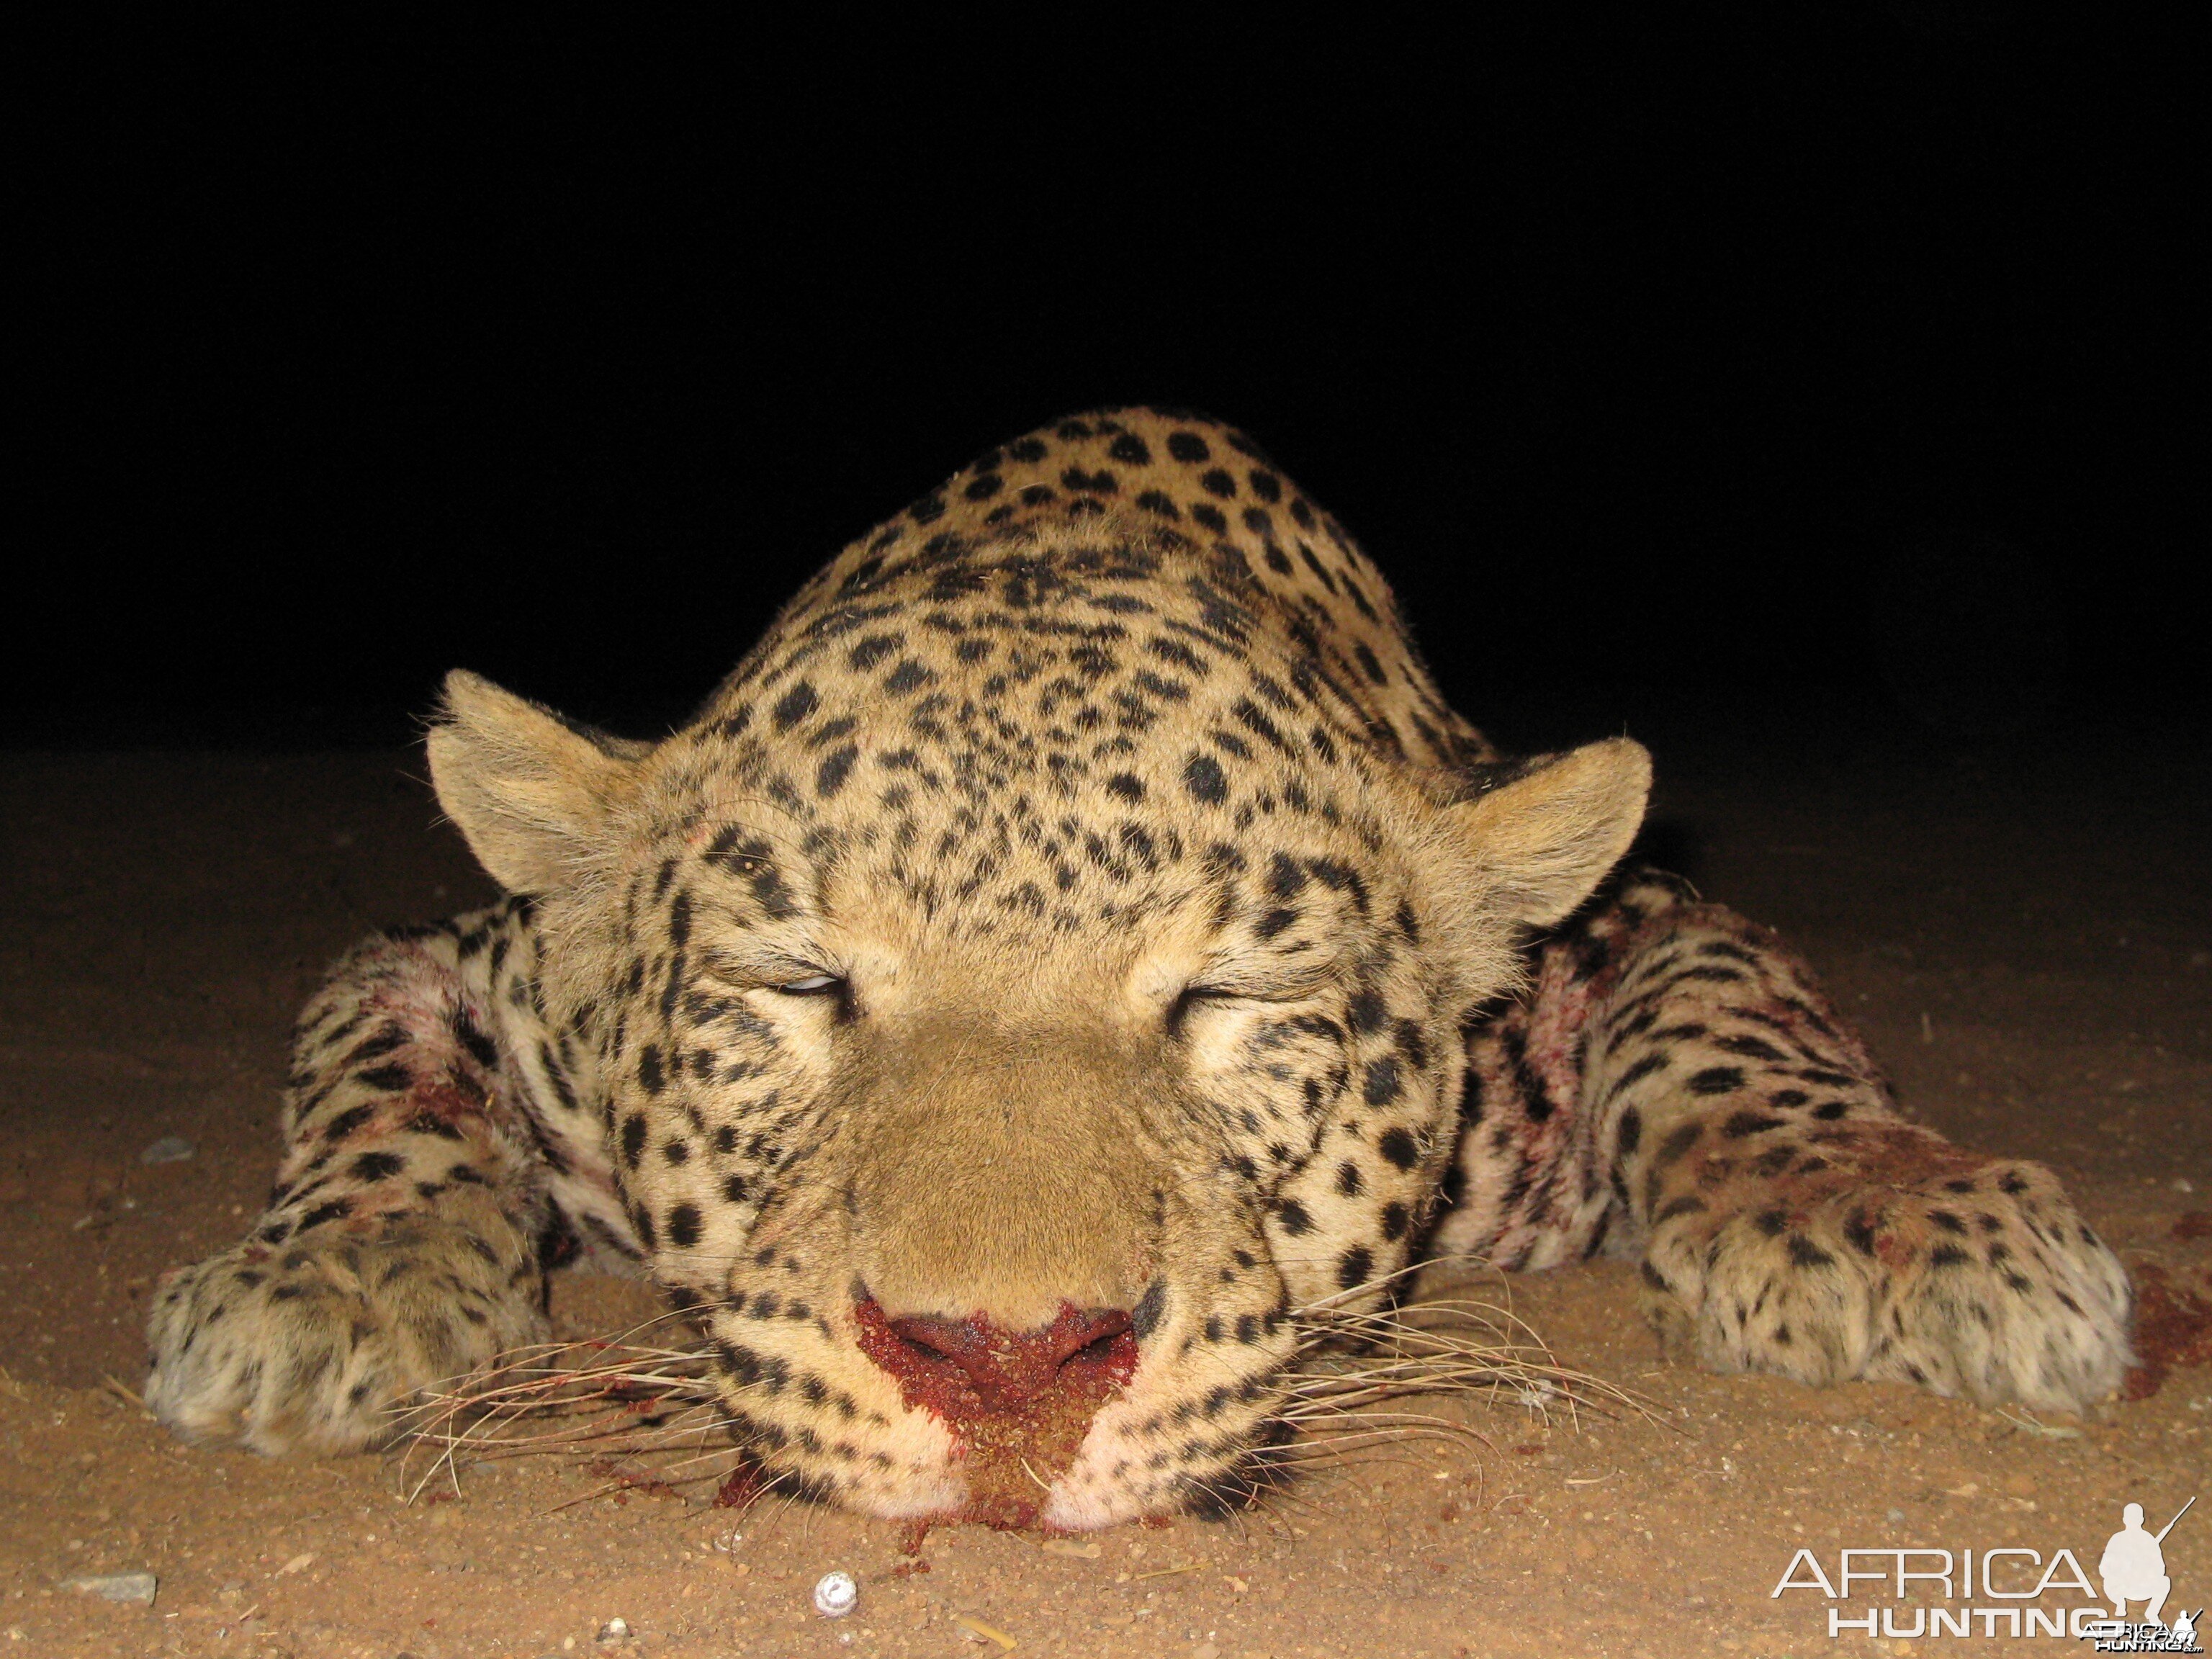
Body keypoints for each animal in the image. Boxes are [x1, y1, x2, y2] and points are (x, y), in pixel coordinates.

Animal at [143, 403, 2141, 1530]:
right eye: (800, 987)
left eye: (1221, 1005)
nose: (1007, 1367)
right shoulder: (465, 964)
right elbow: (378, 1066)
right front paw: (335, 1284)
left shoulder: (1637, 925)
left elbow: (1731, 1021)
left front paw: (1883, 1218)